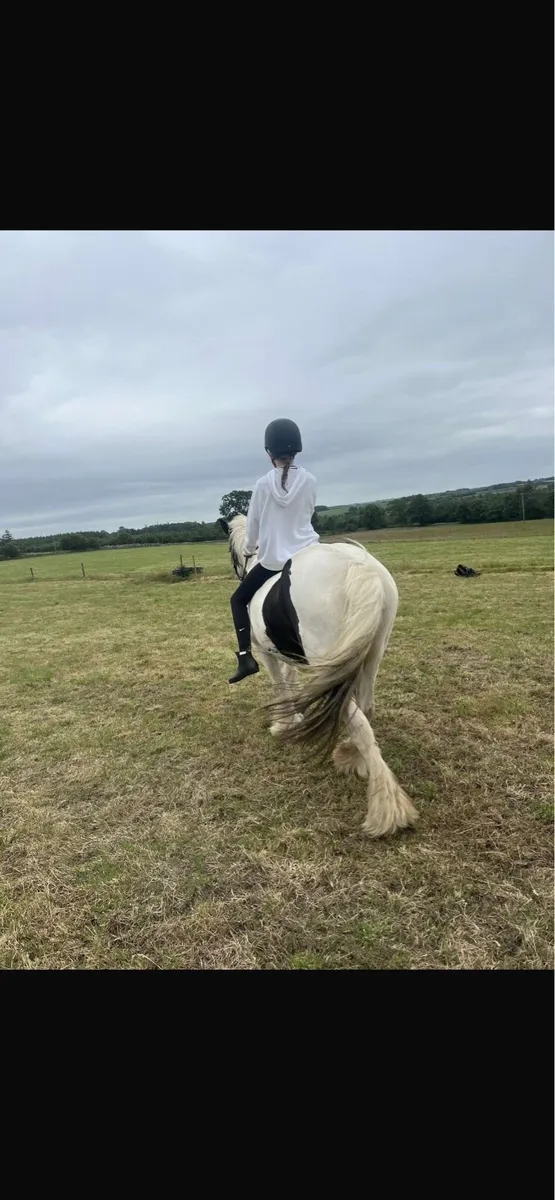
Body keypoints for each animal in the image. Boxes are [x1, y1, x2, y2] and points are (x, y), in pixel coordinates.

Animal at [220, 514, 419, 837]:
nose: (238, 568)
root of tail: (358, 566)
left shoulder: (266, 652)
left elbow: (279, 684)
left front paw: (283, 725)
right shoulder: (289, 654)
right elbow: (290, 681)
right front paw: (294, 717)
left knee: (358, 721)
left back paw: (385, 810)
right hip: (370, 655)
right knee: (365, 709)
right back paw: (353, 756)